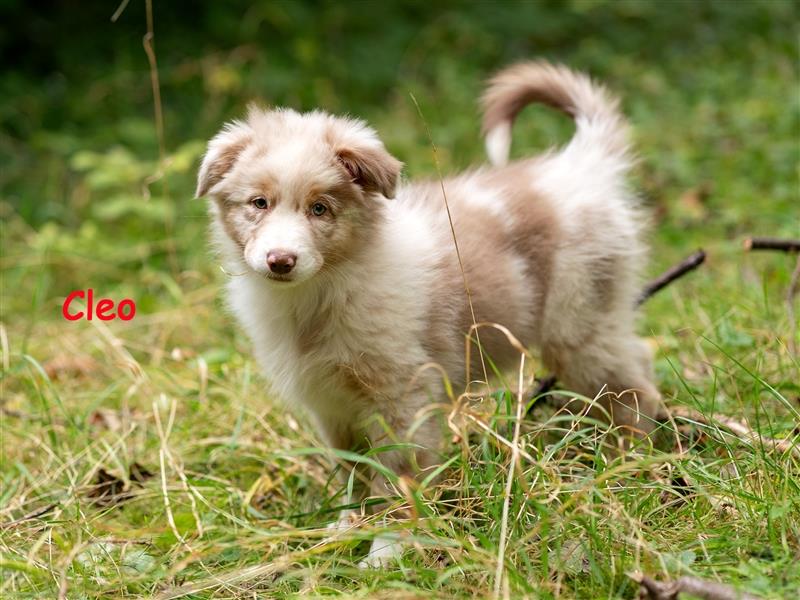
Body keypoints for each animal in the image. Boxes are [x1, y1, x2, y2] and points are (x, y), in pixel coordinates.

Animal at [195, 62, 664, 568]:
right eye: (258, 203)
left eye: (320, 209)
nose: (280, 261)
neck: (322, 294)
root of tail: (581, 165)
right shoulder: (331, 406)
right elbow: (351, 471)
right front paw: (346, 527)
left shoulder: (403, 399)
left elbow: (398, 477)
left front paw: (387, 551)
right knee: (635, 359)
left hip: (578, 323)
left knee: (631, 386)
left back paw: (629, 459)